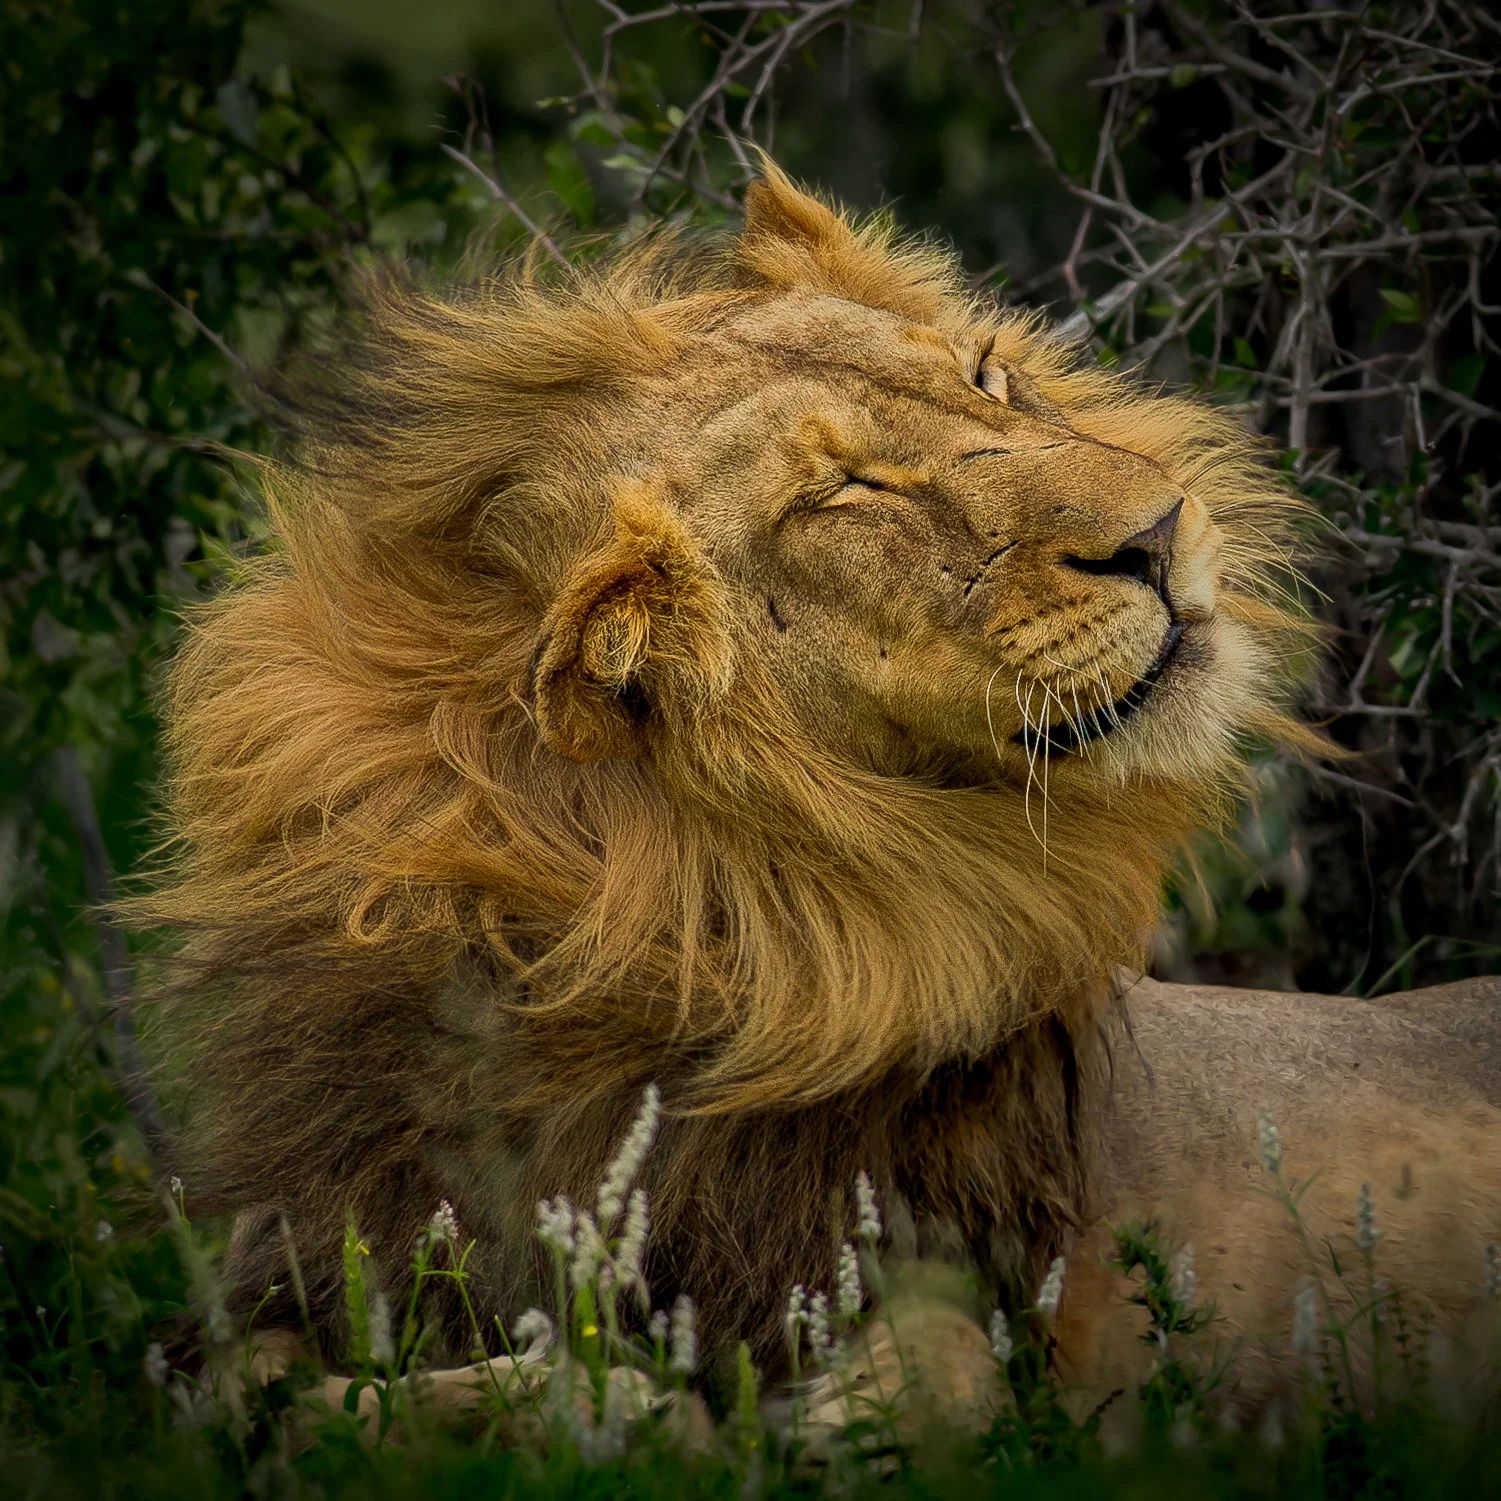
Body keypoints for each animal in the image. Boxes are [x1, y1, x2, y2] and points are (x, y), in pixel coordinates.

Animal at [138, 162, 1501, 1425]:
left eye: (988, 378)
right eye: (849, 493)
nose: (1162, 530)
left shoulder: (953, 1281)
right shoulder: (303, 1249)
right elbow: (268, 1388)